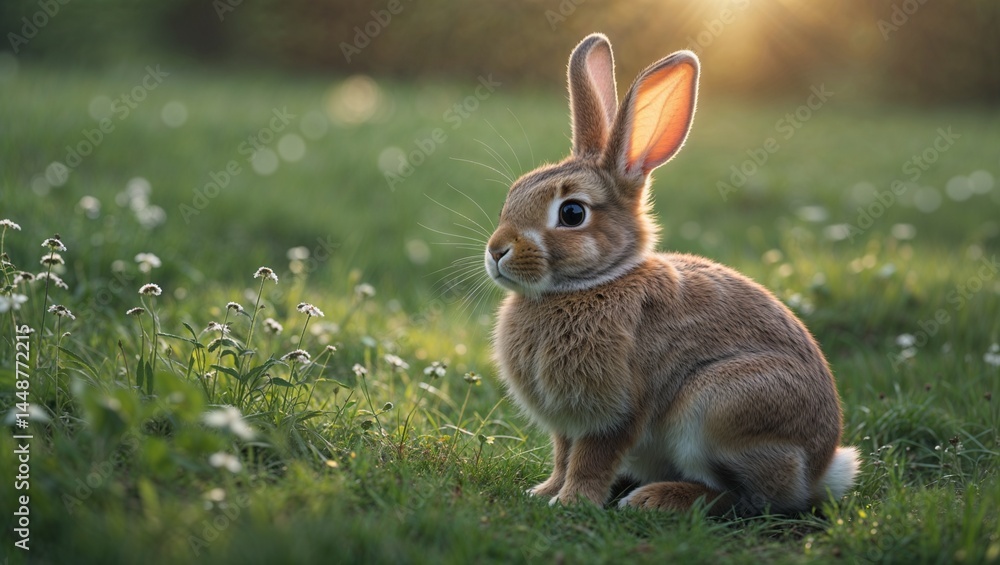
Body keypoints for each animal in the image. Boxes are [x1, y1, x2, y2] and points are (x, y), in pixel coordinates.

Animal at [484, 33, 859, 516]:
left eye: (572, 213)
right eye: (511, 196)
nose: (496, 251)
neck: (595, 283)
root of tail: (820, 469)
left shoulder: (617, 409)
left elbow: (590, 460)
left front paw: (572, 503)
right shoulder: (567, 424)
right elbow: (563, 455)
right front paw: (544, 492)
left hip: (717, 406)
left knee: (745, 499)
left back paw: (655, 498)